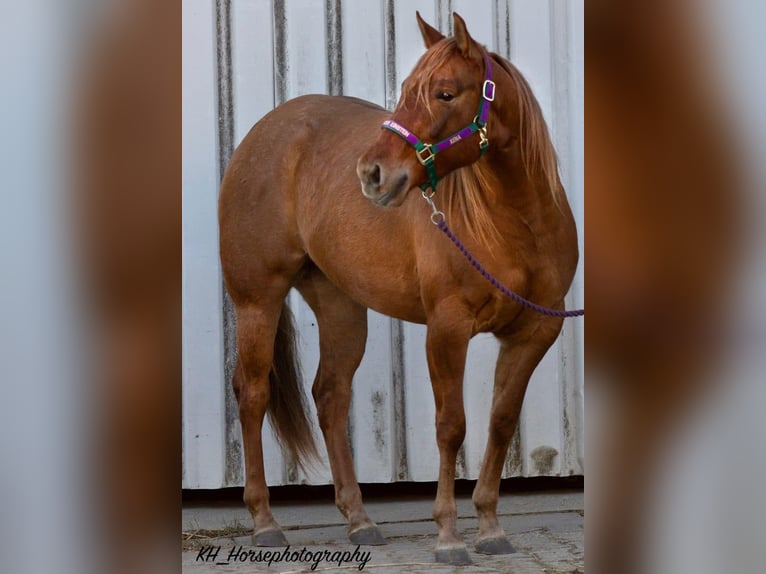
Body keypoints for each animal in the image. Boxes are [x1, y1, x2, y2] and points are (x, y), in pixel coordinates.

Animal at [218, 12, 579, 565]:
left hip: (340, 305)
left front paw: (490, 528)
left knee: (331, 395)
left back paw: (360, 520)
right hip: (257, 300)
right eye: (409, 89)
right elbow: (451, 426)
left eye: (446, 93)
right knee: (253, 393)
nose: (372, 173)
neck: (517, 226)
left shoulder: (533, 333)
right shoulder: (447, 328)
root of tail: (263, 133)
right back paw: (264, 523)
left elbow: (500, 422)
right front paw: (448, 535)